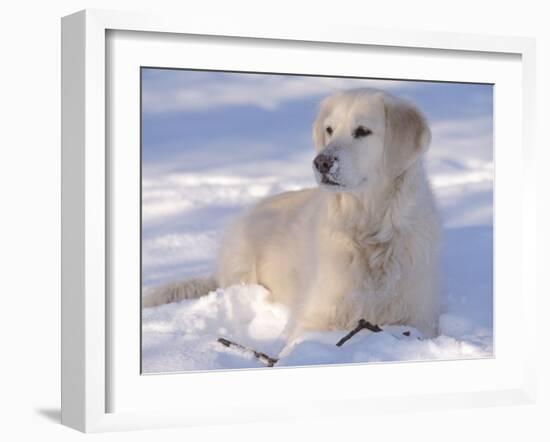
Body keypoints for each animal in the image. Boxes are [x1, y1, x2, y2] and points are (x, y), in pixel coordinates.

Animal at [144, 89, 442, 338]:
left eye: (363, 131)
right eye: (330, 129)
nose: (321, 162)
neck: (369, 229)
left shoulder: (419, 319)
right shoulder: (315, 316)